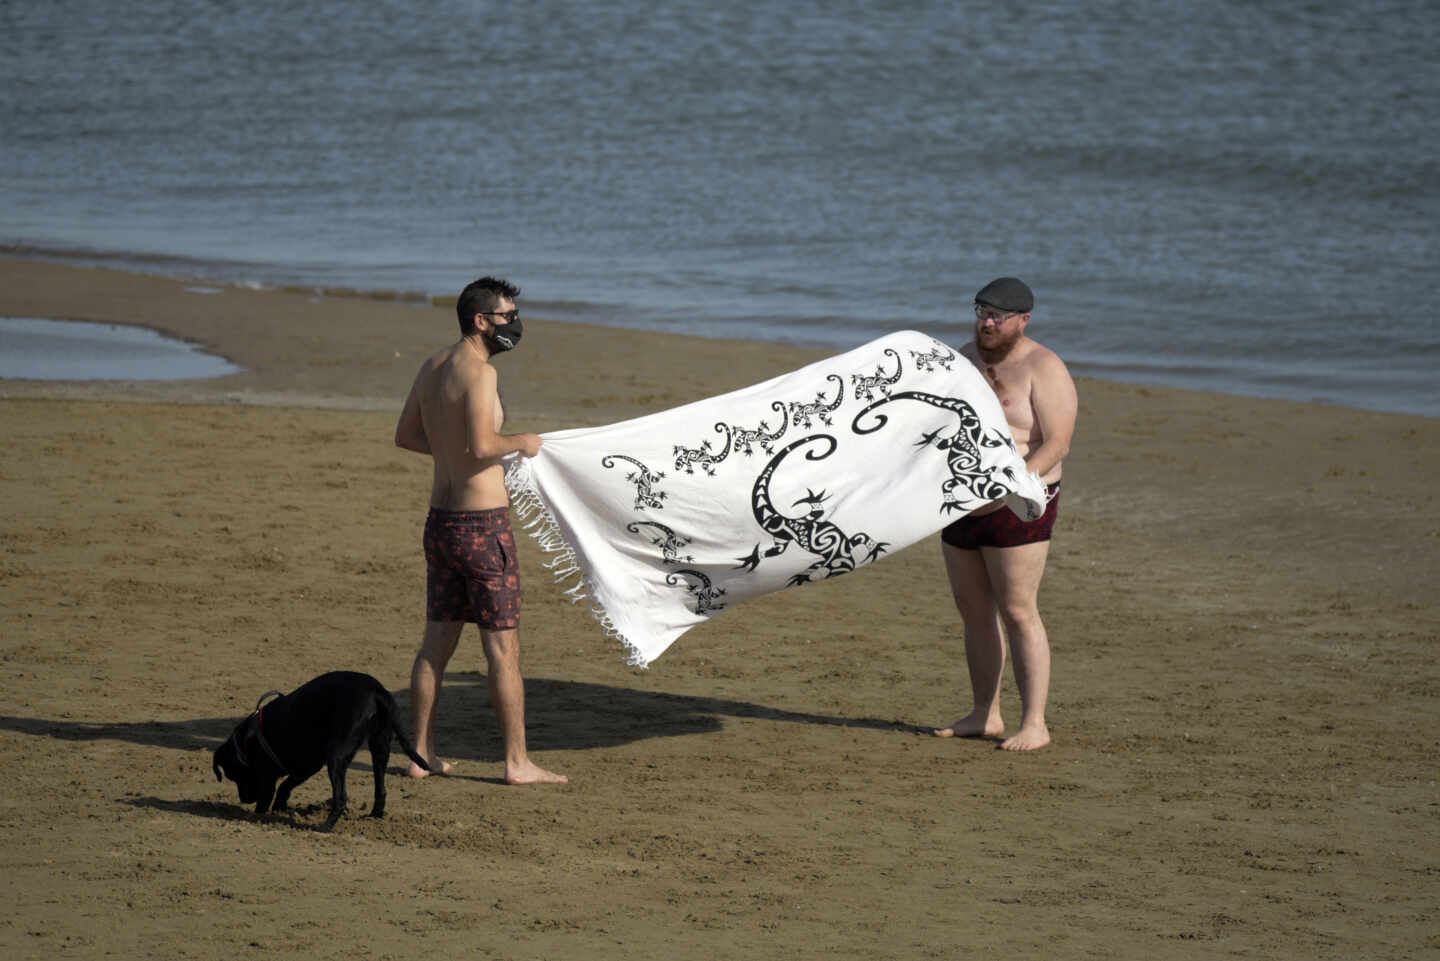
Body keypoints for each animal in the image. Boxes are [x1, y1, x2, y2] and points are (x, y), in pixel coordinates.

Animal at [210, 674, 429, 829]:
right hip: (380, 747)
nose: (244, 800)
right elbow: (286, 786)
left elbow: (267, 797)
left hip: (337, 757)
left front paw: (254, 816)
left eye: (233, 775)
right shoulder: (307, 766)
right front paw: (280, 808)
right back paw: (374, 816)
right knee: (380, 789)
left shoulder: (267, 777)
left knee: (340, 798)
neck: (246, 742)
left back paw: (325, 827)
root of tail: (377, 691)